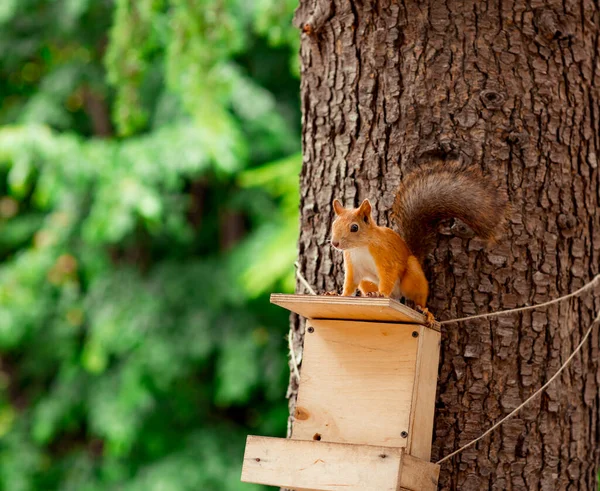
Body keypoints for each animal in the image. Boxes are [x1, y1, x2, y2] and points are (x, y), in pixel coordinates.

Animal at [330, 160, 508, 320]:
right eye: (334, 224)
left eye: (354, 227)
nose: (335, 243)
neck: (360, 247)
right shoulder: (353, 265)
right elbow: (350, 282)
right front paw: (339, 294)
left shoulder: (385, 257)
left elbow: (387, 276)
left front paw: (381, 293)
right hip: (367, 282)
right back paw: (371, 294)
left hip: (412, 275)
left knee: (418, 298)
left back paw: (424, 311)